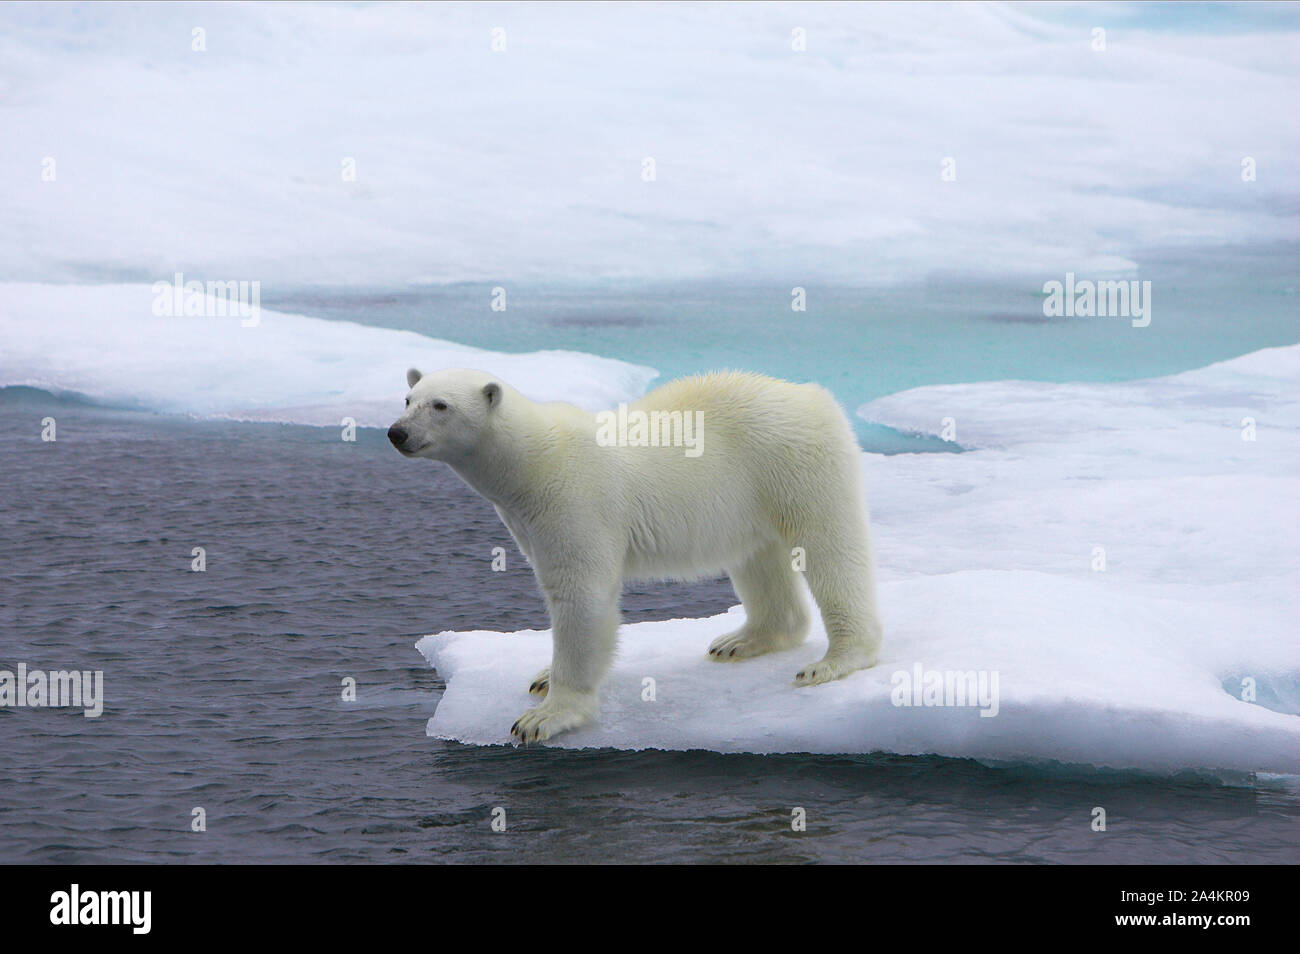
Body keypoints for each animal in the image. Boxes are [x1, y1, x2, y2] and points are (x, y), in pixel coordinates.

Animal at [389, 367, 883, 743]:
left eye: (441, 405)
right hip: (750, 498)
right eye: (408, 397)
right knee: (758, 560)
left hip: (795, 463)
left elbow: (582, 597)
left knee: (830, 549)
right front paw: (543, 675)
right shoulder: (526, 520)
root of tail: (811, 394)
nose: (397, 433)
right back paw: (740, 641)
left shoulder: (574, 503)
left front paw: (544, 715)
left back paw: (833, 661)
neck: (533, 461)